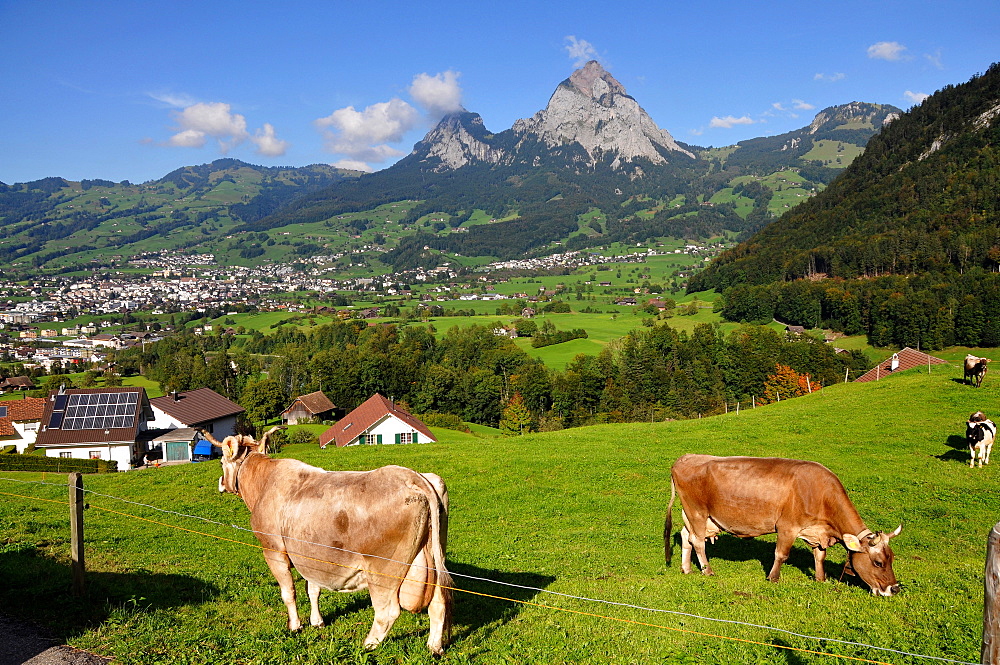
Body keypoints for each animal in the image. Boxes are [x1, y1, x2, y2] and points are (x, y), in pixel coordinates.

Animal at [201, 428, 452, 652]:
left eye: (220, 461)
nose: (221, 483)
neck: (264, 482)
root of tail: (413, 477)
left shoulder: (274, 550)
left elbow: (288, 591)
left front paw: (295, 626)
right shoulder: (310, 553)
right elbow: (313, 589)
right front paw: (317, 621)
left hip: (383, 569)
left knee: (387, 610)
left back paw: (368, 644)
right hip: (434, 557)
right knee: (439, 602)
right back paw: (434, 647)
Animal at [664, 454, 908, 592]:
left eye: (892, 559)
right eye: (878, 563)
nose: (894, 589)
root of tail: (685, 457)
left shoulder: (816, 531)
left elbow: (819, 556)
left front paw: (821, 579)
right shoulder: (787, 527)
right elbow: (781, 554)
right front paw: (773, 578)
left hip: (698, 517)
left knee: (686, 536)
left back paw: (687, 569)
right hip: (697, 512)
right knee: (698, 542)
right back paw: (707, 571)